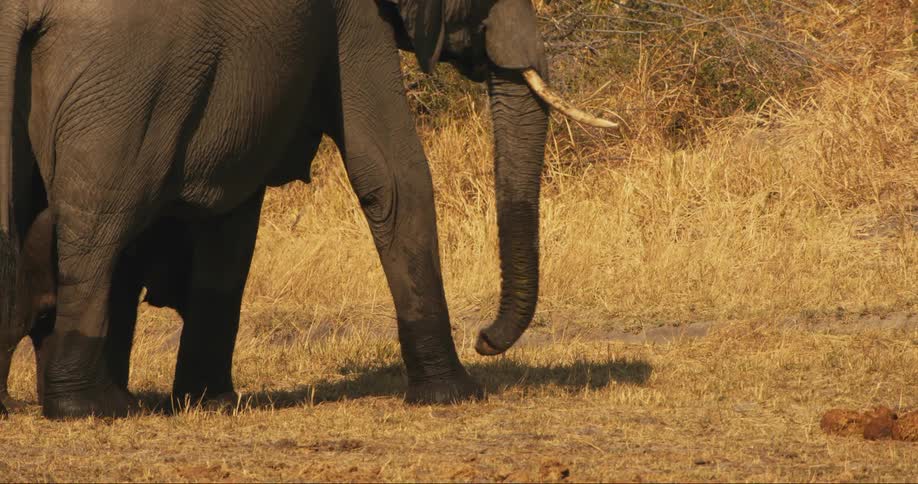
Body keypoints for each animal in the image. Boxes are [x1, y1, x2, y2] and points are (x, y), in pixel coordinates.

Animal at [0, 0, 614, 419]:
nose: (485, 338)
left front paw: (210, 402)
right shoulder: (354, 18)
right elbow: (393, 173)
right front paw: (453, 395)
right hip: (130, 82)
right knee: (100, 223)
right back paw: (89, 409)